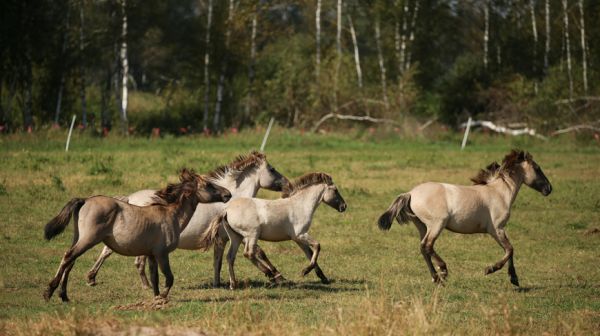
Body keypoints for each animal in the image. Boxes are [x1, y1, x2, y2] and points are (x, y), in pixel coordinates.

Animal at [42, 168, 232, 302]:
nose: (227, 194)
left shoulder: (151, 255)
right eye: (208, 185)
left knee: (70, 262)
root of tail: (85, 200)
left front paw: (156, 297)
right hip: (88, 240)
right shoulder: (162, 254)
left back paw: (64, 295)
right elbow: (169, 278)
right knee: (68, 257)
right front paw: (163, 297)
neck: (171, 215)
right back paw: (49, 291)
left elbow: (155, 278)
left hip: (79, 239)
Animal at [85, 151, 290, 288]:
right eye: (272, 169)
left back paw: (92, 277)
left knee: (107, 251)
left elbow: (219, 261)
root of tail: (129, 198)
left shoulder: (224, 239)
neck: (232, 201)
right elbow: (256, 252)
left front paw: (217, 283)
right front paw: (275, 275)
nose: (288, 184)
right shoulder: (233, 236)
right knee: (131, 260)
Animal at [200, 172, 346, 290]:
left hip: (236, 237)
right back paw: (270, 274)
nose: (344, 206)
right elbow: (317, 246)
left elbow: (310, 253)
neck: (300, 205)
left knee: (230, 257)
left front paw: (323, 278)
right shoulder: (300, 235)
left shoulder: (298, 239)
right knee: (249, 253)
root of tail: (226, 210)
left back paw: (233, 284)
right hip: (252, 234)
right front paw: (304, 271)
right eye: (335, 190)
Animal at [378, 150, 552, 286]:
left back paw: (436, 277)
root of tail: (411, 193)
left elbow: (509, 250)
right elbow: (510, 249)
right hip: (437, 224)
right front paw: (490, 269)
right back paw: (443, 271)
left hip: (422, 226)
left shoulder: (499, 230)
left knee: (424, 248)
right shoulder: (496, 229)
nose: (549, 189)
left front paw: (514, 278)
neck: (500, 193)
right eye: (537, 168)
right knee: (427, 245)